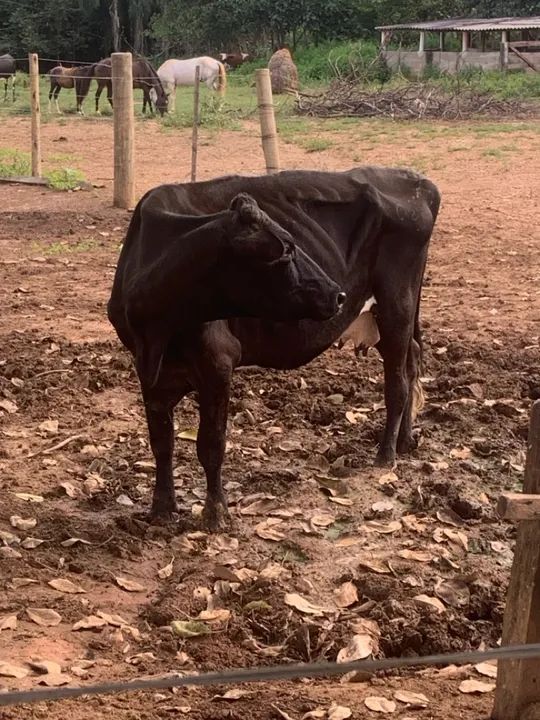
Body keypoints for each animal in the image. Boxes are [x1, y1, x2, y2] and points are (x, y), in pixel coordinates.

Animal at [108, 168, 441, 530]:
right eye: (285, 251)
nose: (338, 294)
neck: (156, 334)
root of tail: (415, 179)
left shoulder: (218, 362)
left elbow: (211, 443)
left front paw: (215, 513)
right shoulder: (148, 371)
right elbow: (161, 441)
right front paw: (162, 508)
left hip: (397, 306)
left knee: (397, 382)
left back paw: (385, 455)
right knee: (412, 361)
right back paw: (405, 442)